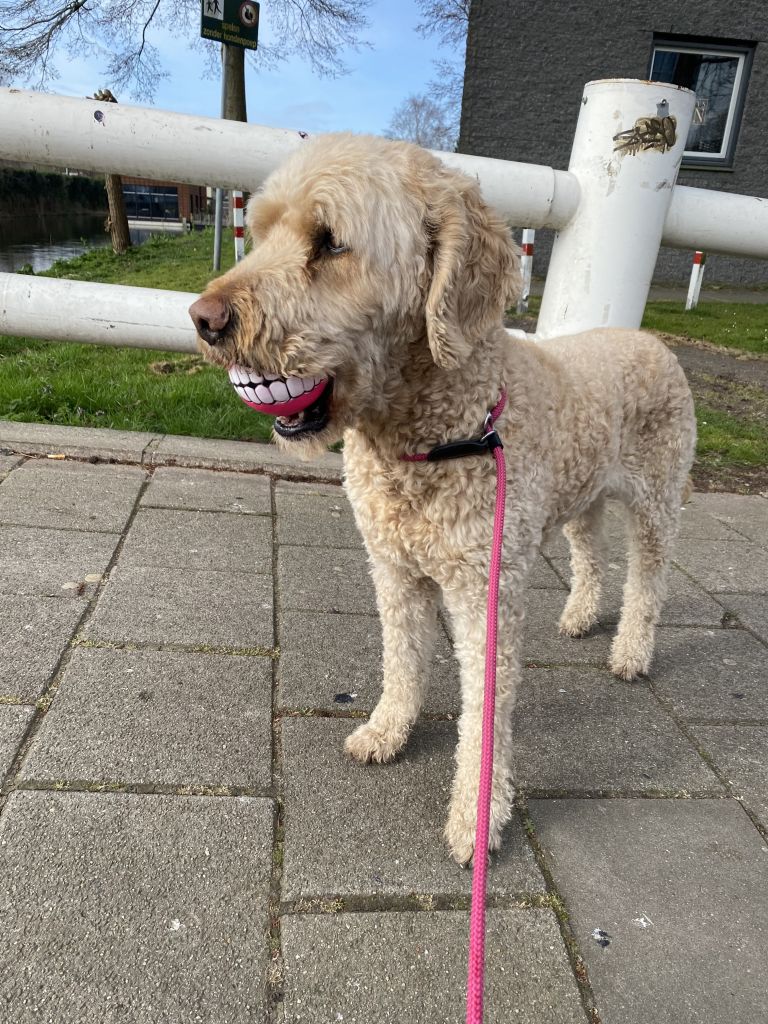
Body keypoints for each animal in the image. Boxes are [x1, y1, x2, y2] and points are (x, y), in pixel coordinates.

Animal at [189, 133, 696, 865]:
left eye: (330, 242)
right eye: (257, 234)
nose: (204, 319)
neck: (436, 435)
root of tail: (652, 338)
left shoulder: (486, 591)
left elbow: (485, 713)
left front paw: (476, 817)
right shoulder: (394, 570)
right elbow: (402, 661)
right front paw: (387, 731)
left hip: (657, 498)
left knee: (650, 579)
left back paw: (631, 652)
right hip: (581, 492)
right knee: (589, 549)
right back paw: (580, 614)